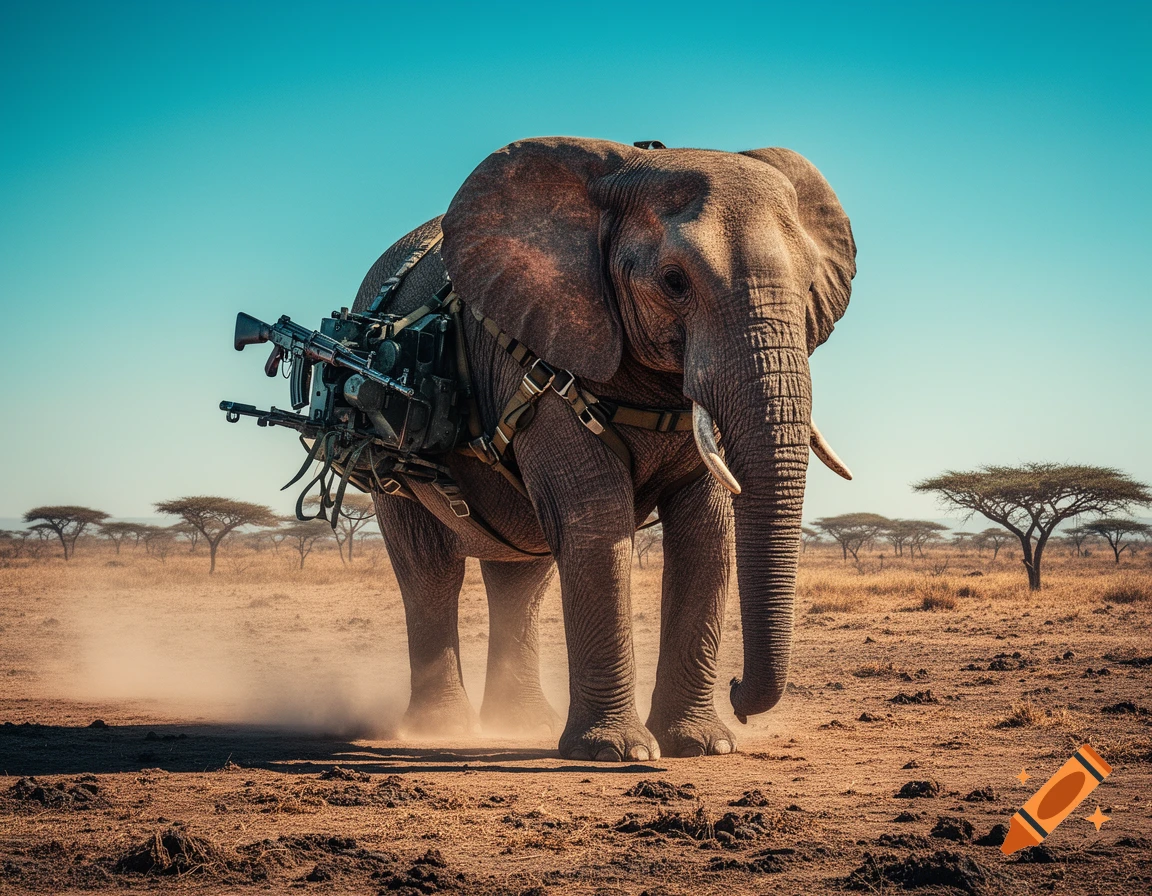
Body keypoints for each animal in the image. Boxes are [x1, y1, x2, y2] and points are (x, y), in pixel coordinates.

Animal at [352, 137, 855, 761]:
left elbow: (706, 532)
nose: (739, 692)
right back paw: (442, 730)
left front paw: (702, 746)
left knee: (523, 577)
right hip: (384, 457)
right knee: (430, 568)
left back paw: (522, 722)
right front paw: (618, 754)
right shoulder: (541, 372)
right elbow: (597, 522)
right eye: (674, 282)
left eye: (810, 289)